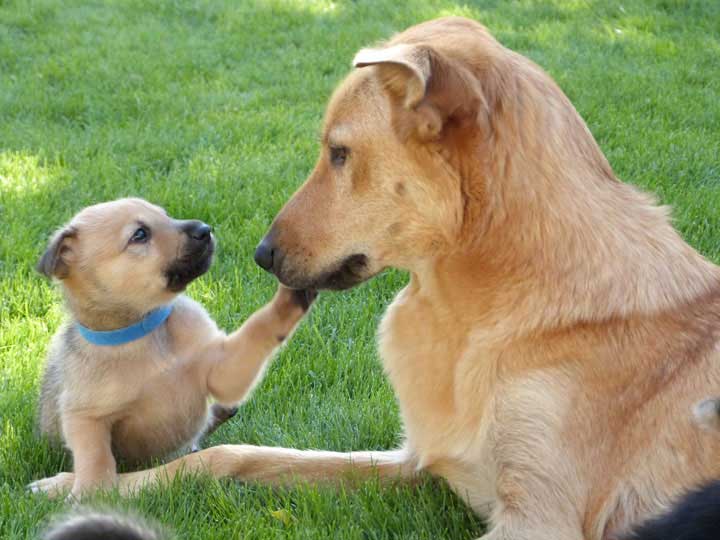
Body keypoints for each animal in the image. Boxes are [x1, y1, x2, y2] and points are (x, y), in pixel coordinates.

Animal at [28, 198, 316, 498]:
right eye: (139, 234)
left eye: (164, 215)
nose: (205, 229)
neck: (145, 333)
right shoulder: (86, 416)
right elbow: (96, 458)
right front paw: (90, 492)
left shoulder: (221, 370)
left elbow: (259, 328)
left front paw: (290, 296)